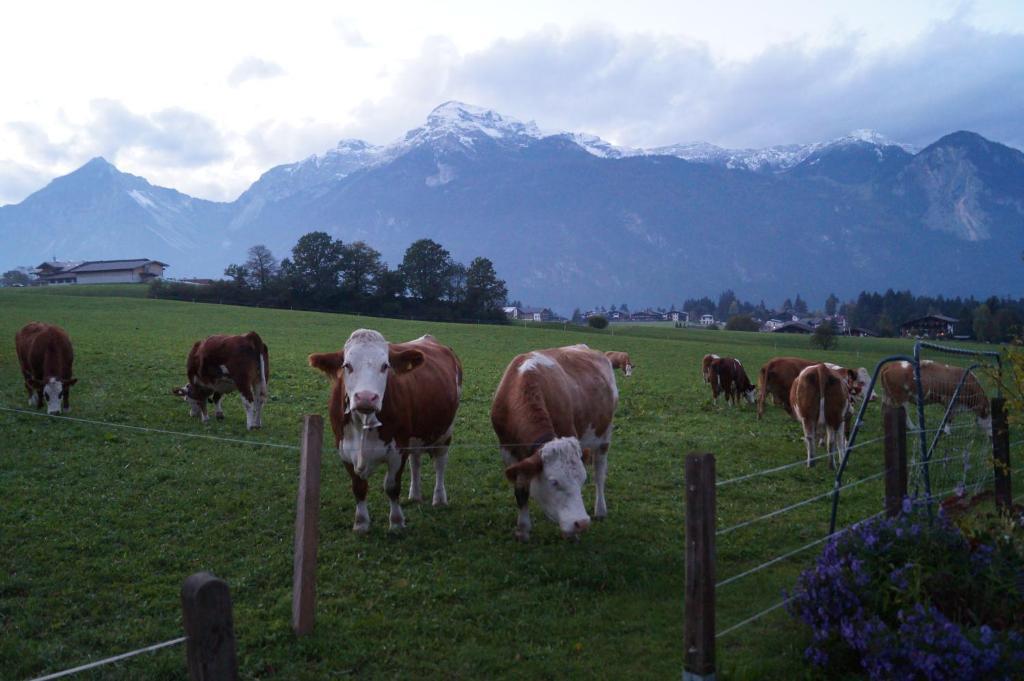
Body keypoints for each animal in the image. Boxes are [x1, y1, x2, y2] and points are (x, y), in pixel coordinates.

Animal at [307, 327, 460, 532]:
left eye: (385, 366)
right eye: (347, 365)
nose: (365, 397)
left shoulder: (398, 449)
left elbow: (392, 487)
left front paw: (396, 522)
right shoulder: (344, 449)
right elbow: (358, 487)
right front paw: (361, 523)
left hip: (446, 432)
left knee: (440, 463)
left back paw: (439, 498)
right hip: (415, 437)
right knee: (416, 461)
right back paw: (415, 494)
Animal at [487, 346, 614, 540]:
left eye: (582, 480)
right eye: (554, 482)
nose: (582, 523)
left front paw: (572, 536)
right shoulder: (509, 452)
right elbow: (521, 489)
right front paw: (523, 530)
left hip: (604, 436)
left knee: (600, 473)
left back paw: (600, 509)